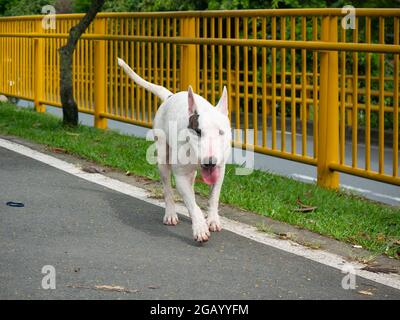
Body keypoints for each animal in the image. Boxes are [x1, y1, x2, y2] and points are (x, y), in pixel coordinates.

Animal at [117, 57, 231, 242]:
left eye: (221, 132)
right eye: (198, 131)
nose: (209, 162)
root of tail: (170, 96)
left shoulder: (219, 169)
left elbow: (214, 196)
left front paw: (213, 220)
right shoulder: (181, 175)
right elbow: (190, 201)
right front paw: (200, 227)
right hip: (163, 157)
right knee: (167, 188)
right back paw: (170, 214)